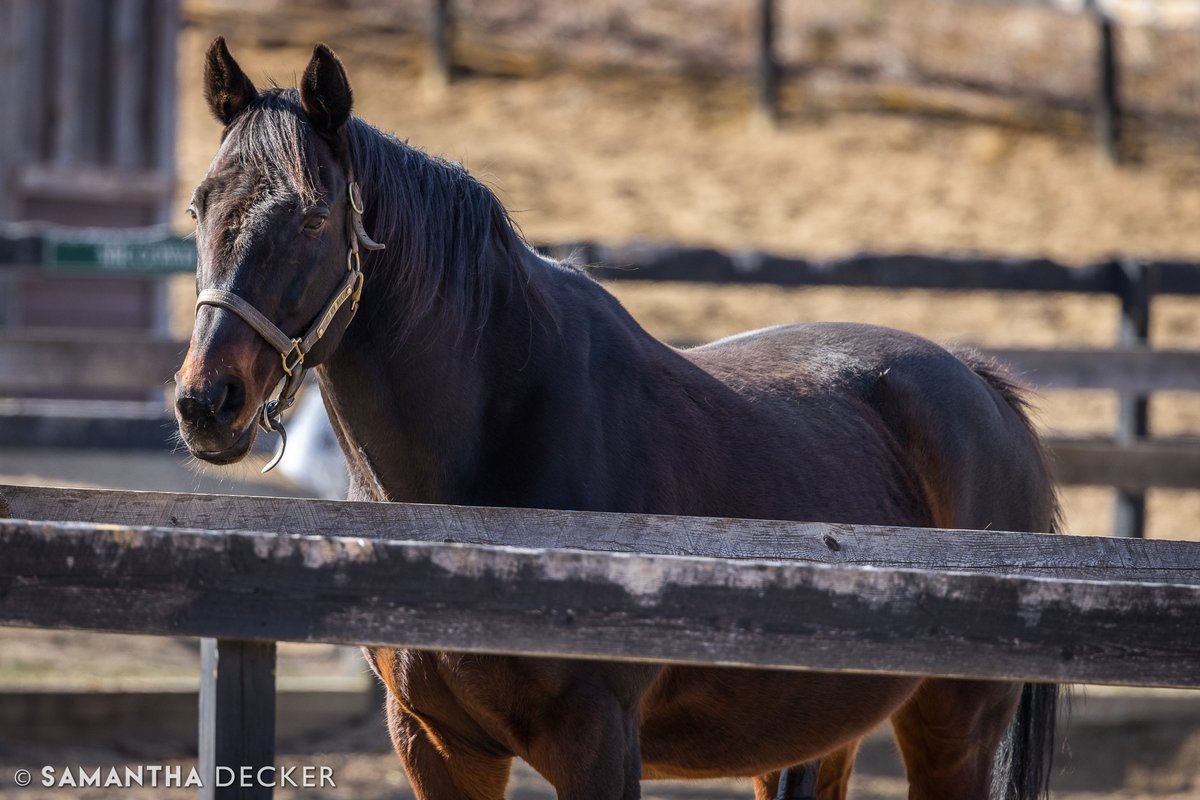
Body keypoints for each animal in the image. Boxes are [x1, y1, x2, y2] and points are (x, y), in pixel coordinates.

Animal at [175, 35, 1060, 800]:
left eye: (314, 216)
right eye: (198, 208)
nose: (205, 401)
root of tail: (983, 387)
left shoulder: (595, 739)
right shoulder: (435, 744)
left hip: (953, 730)